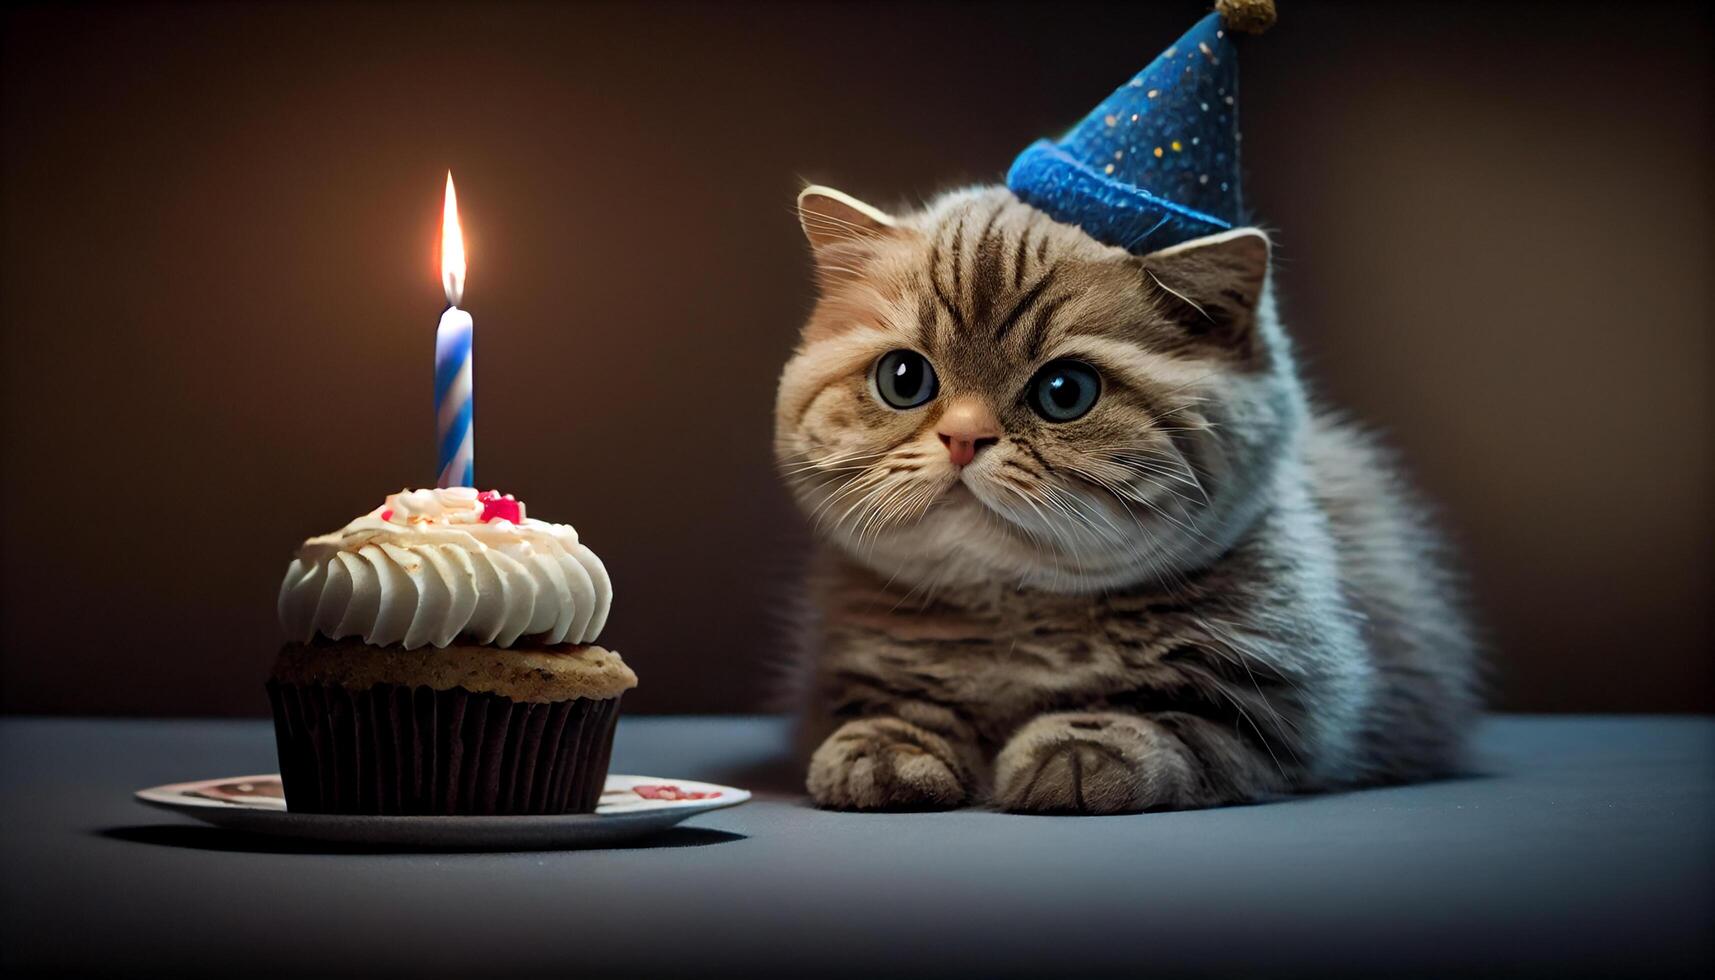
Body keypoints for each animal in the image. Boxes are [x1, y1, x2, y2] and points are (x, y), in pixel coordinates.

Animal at [771, 183, 1481, 813]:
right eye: (904, 379)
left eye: (1065, 391)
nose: (964, 438)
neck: (1017, 617)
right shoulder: (840, 672)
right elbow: (893, 705)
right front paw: (884, 748)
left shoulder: (1281, 700)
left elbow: (1172, 720)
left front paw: (1084, 750)